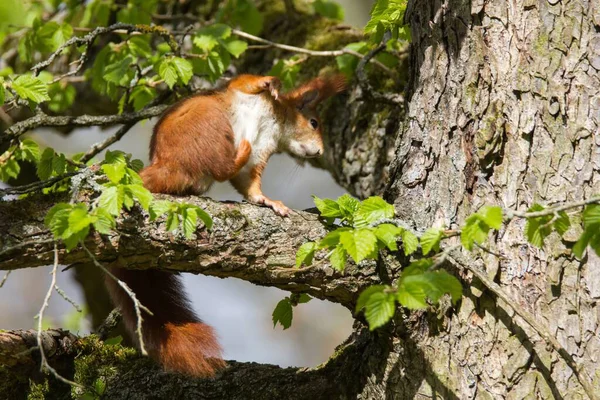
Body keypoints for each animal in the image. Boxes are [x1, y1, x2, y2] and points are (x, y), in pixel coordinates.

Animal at [105, 73, 344, 376]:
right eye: (314, 122)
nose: (320, 151)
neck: (276, 123)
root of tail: (166, 166)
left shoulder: (260, 156)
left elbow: (249, 186)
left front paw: (268, 201)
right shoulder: (239, 90)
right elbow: (246, 82)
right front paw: (271, 83)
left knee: (223, 169)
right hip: (209, 121)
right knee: (220, 166)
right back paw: (239, 149)